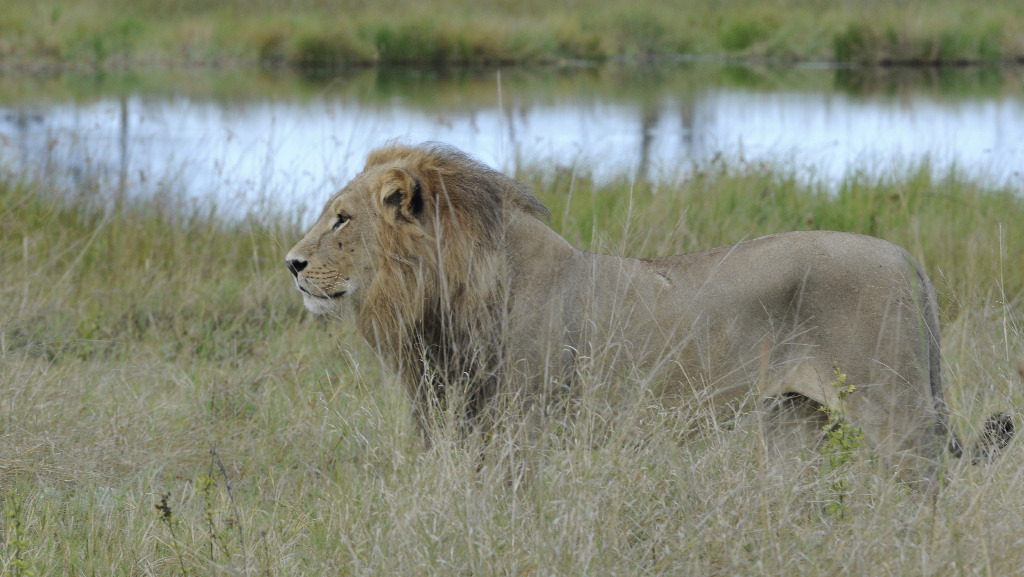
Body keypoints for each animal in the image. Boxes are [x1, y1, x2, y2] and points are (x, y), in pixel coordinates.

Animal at [285, 142, 1013, 490]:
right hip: (793, 421)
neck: (438, 297)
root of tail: (907, 257)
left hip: (897, 413)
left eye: (342, 219)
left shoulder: (521, 427)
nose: (291, 263)